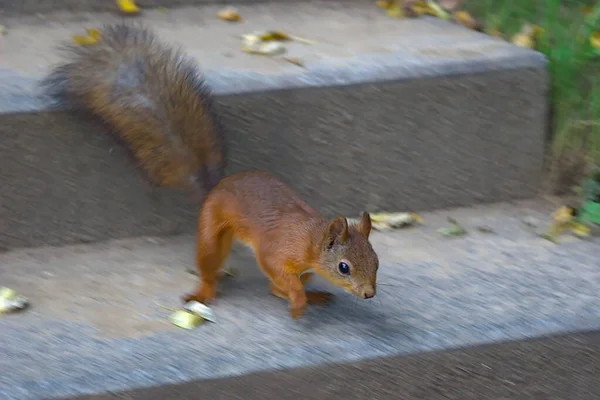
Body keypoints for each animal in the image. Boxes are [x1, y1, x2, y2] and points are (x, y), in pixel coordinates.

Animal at [183, 170, 380, 320]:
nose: (369, 293)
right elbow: (280, 273)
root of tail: (220, 184)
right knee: (208, 267)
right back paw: (204, 292)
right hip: (211, 229)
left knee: (275, 288)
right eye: (343, 267)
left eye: (376, 261)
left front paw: (303, 296)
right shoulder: (275, 252)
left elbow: (282, 286)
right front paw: (299, 301)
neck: (310, 241)